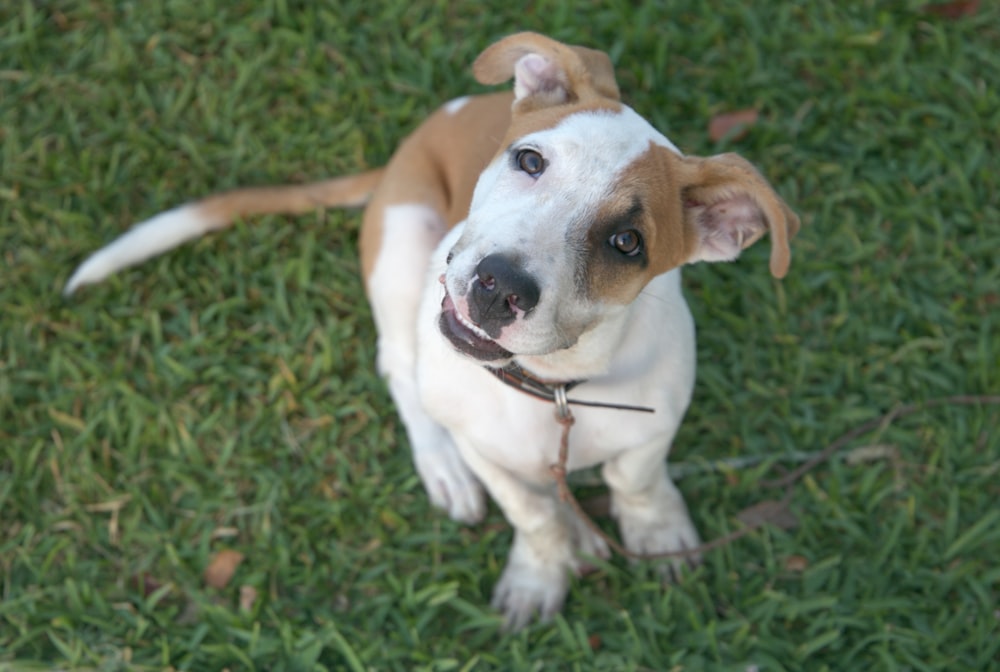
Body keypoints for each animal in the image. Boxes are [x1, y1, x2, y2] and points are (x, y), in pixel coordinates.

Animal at [62, 31, 800, 632]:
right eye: (531, 162)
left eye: (627, 242)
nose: (499, 286)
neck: (557, 386)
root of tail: (403, 151)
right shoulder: (485, 444)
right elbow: (531, 513)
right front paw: (540, 571)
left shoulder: (655, 420)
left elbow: (637, 477)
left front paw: (656, 525)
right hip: (401, 251)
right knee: (402, 369)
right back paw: (450, 470)